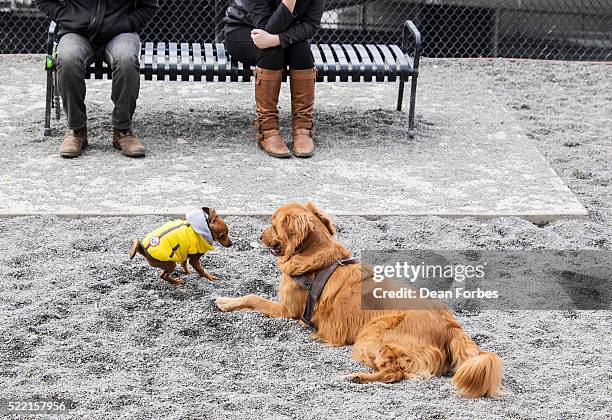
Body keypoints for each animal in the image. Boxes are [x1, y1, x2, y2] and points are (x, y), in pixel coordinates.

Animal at [218, 203, 504, 398]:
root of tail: (450, 324)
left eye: (274, 223)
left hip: (373, 335)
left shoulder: (287, 309)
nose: (259, 235)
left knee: (394, 372)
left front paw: (225, 301)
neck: (317, 257)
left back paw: (357, 376)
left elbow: (253, 297)